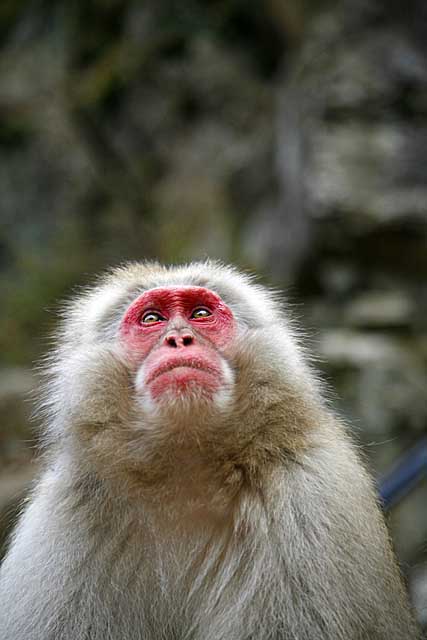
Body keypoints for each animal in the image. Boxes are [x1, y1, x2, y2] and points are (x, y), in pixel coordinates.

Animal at [0, 262, 422, 636]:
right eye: (151, 319)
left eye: (200, 314)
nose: (179, 339)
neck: (186, 471)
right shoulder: (67, 519)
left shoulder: (310, 500)